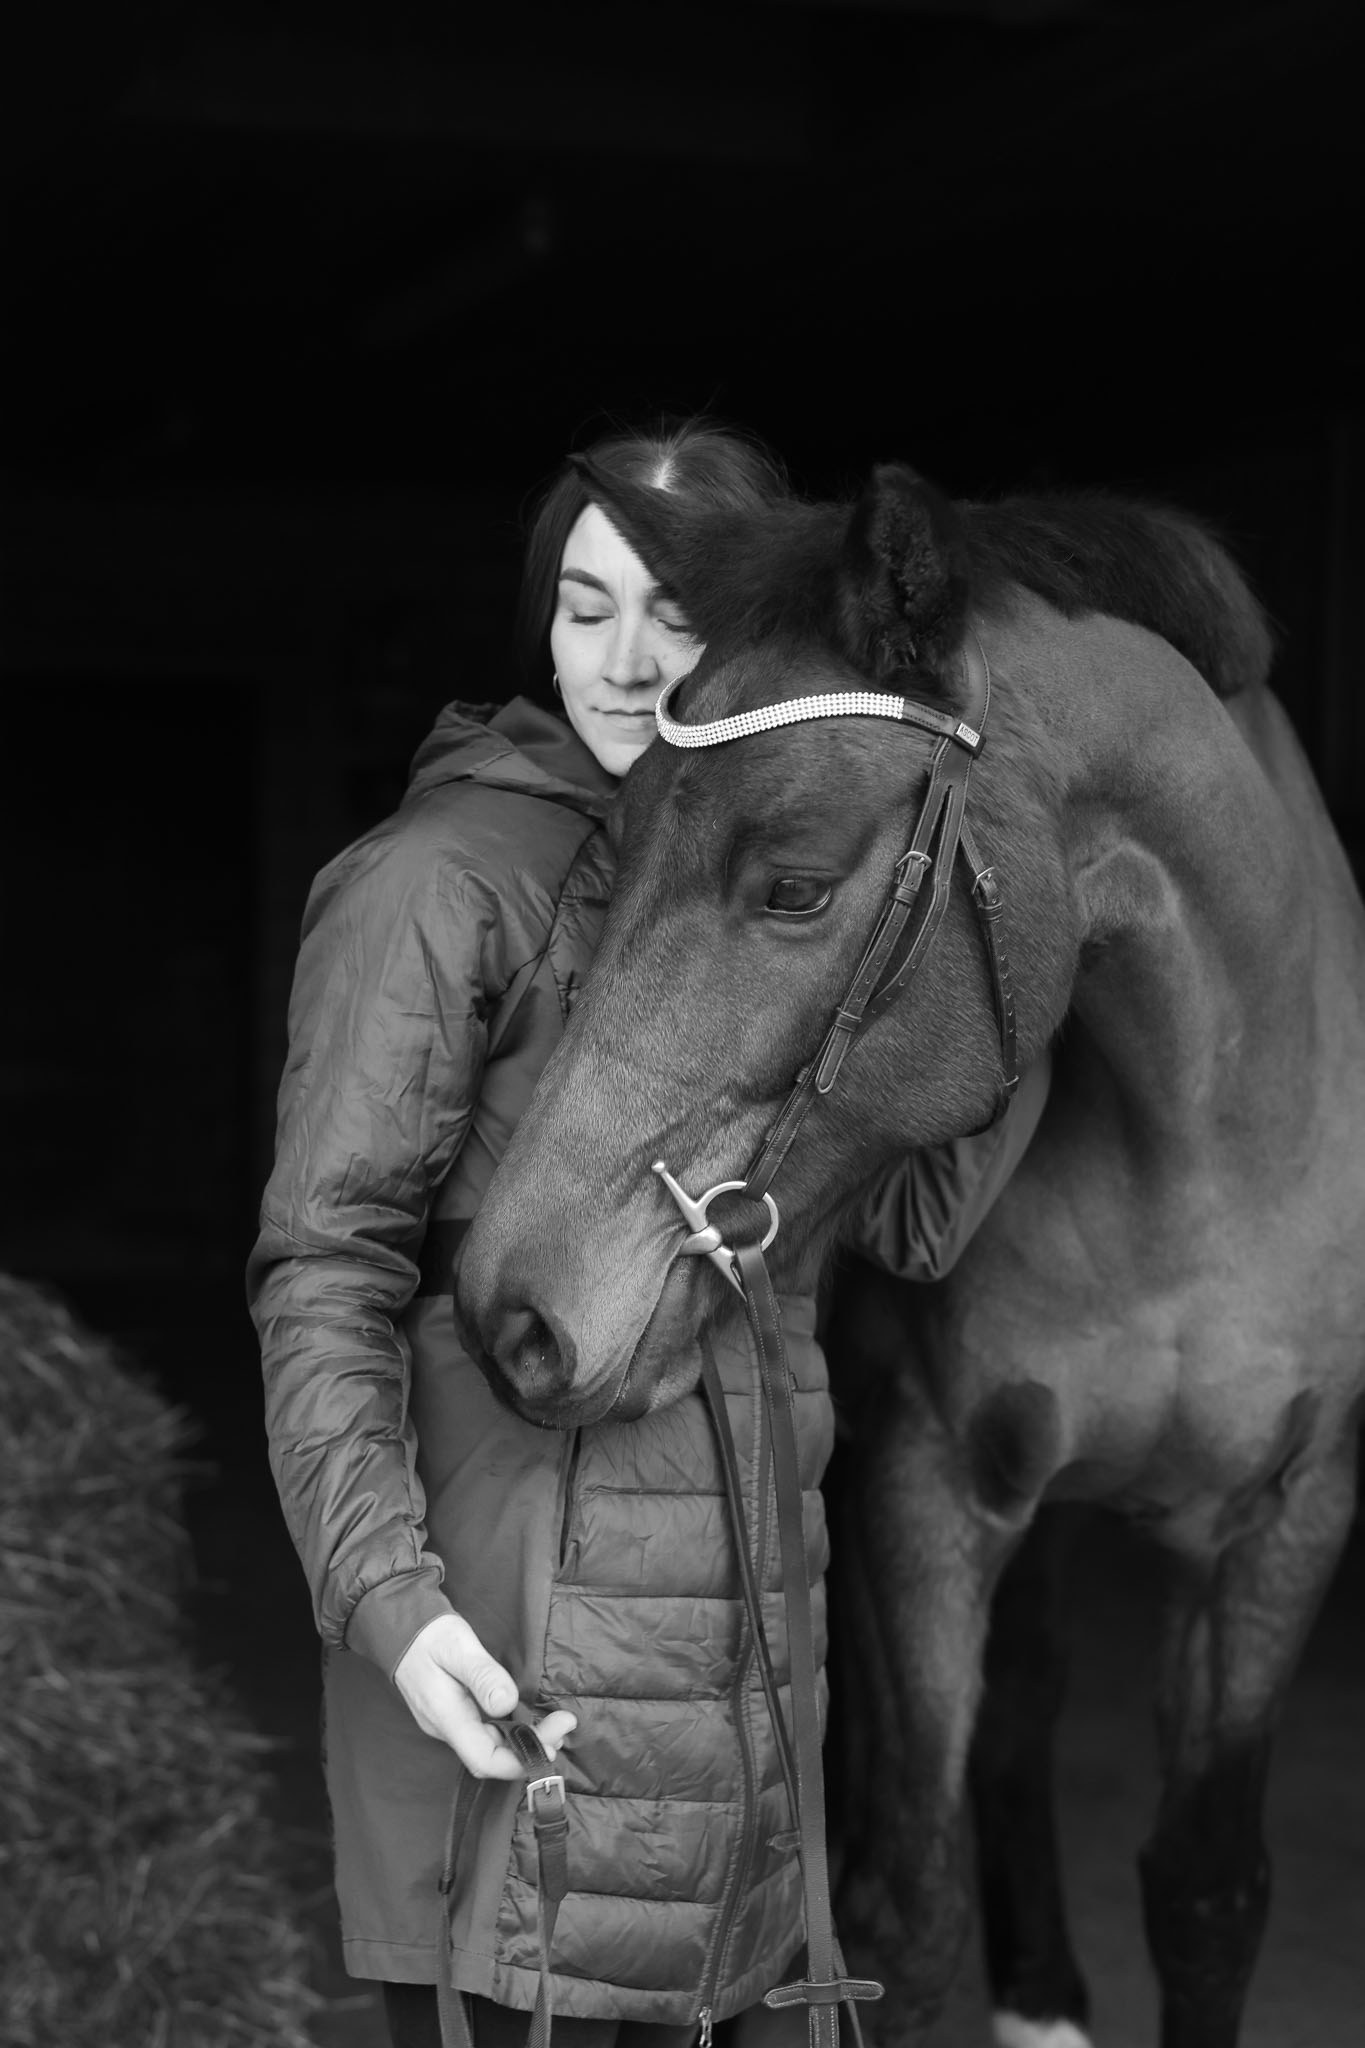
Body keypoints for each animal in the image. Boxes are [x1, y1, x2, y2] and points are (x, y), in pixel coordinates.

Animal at [455, 459, 1365, 2048]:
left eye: (795, 889)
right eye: (613, 850)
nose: (512, 1310)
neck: (1204, 1145)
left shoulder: (1286, 1516)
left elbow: (1207, 1889)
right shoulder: (925, 1486)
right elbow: (913, 1900)